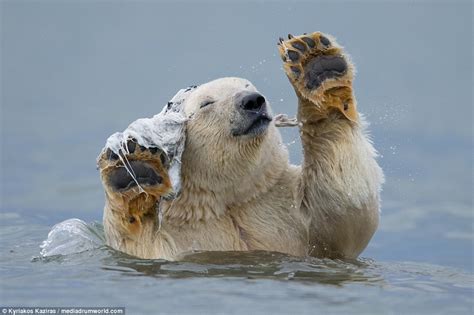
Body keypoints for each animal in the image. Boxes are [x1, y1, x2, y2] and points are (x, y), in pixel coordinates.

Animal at [98, 32, 384, 260]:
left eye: (249, 86)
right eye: (206, 103)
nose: (252, 101)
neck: (228, 201)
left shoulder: (287, 210)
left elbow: (346, 208)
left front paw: (317, 64)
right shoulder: (178, 238)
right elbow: (143, 246)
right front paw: (133, 171)